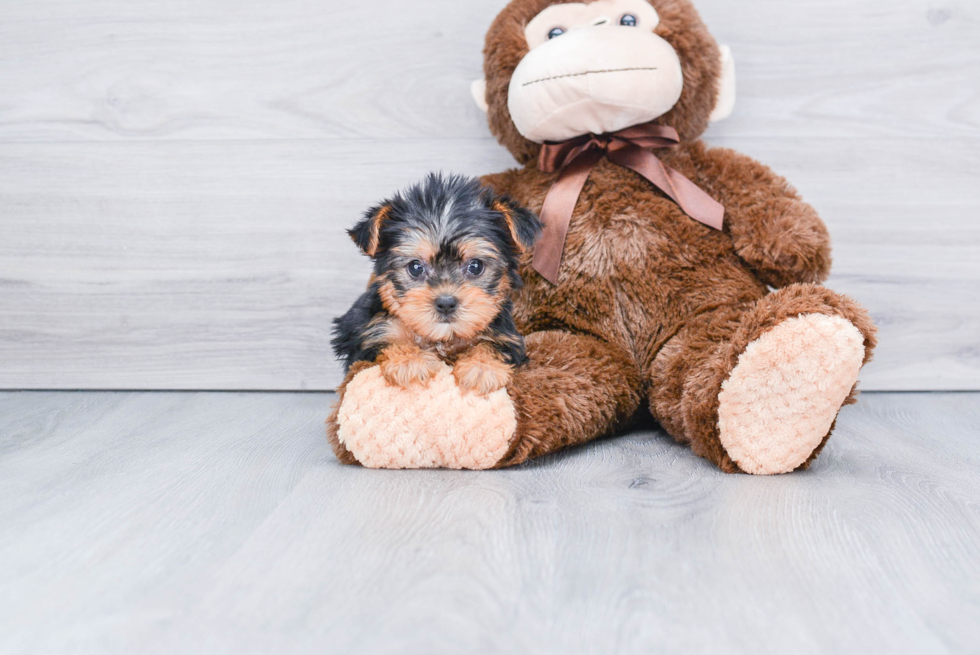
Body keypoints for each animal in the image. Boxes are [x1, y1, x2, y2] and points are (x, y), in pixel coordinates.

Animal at [334, 174, 540, 398]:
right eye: (415, 268)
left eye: (476, 266)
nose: (446, 303)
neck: (441, 339)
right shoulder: (364, 332)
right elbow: (387, 339)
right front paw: (410, 361)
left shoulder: (507, 334)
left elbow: (493, 344)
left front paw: (481, 367)